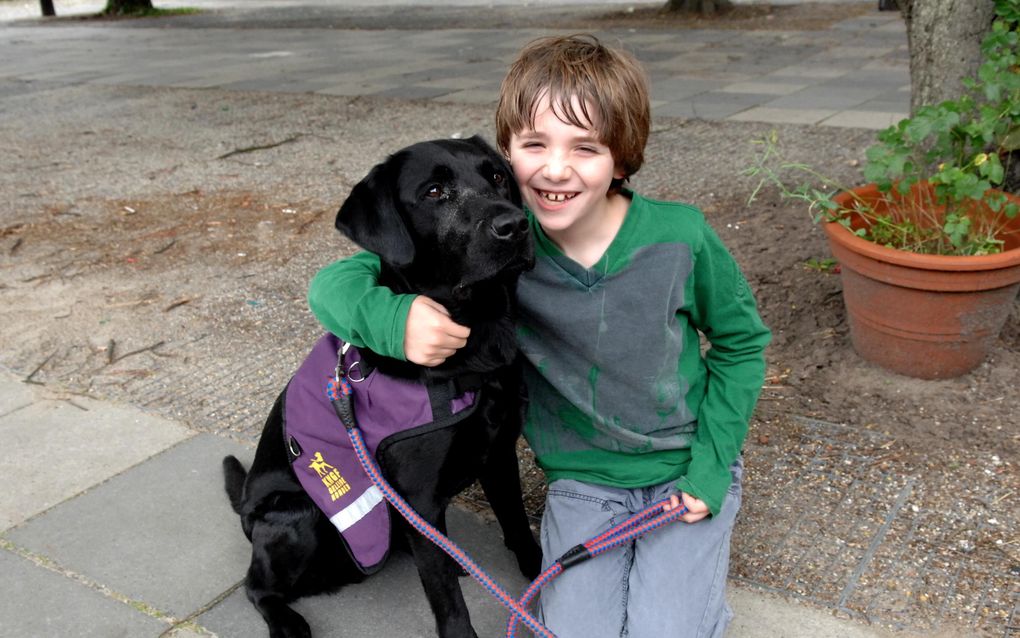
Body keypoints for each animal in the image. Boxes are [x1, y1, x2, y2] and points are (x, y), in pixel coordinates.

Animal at [221, 136, 542, 636]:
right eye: (434, 192)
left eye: (496, 177)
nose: (516, 224)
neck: (476, 335)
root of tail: (245, 513)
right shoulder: (421, 497)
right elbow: (447, 601)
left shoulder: (499, 454)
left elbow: (519, 529)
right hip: (299, 517)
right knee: (254, 586)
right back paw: (286, 621)